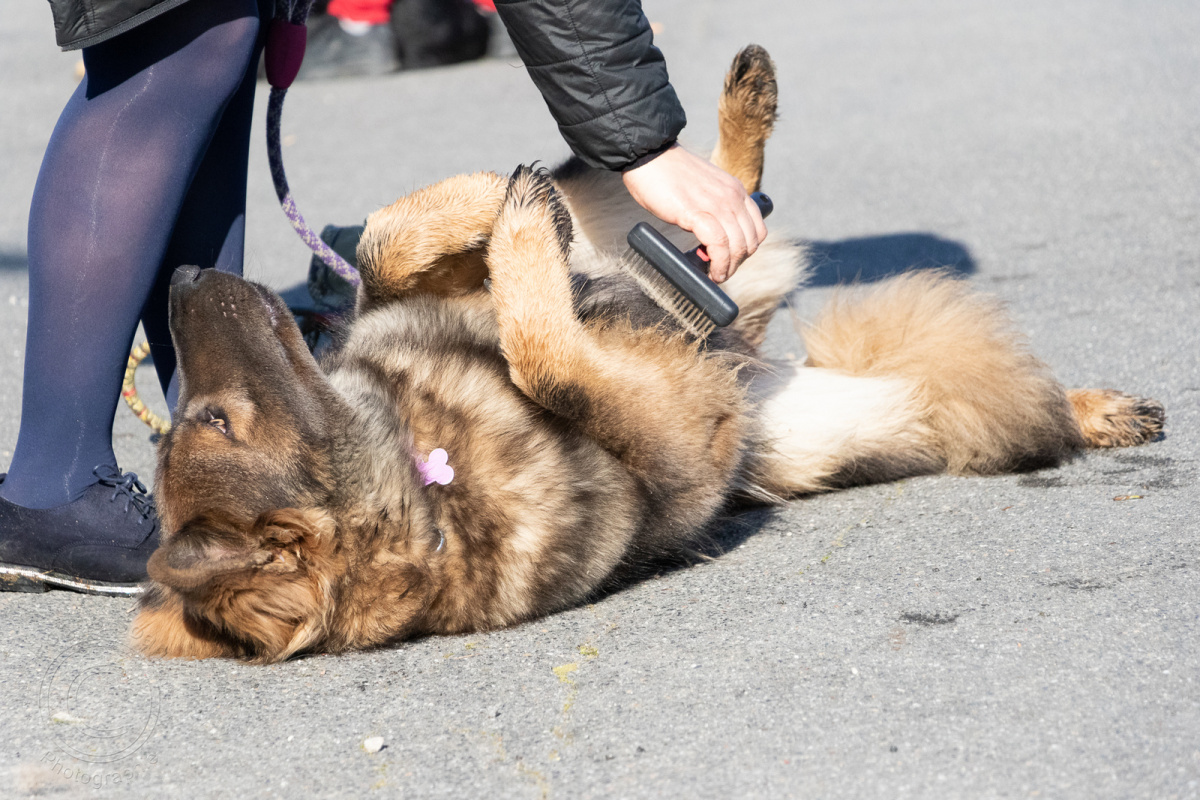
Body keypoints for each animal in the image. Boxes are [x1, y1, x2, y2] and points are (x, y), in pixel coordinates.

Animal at [133, 46, 1164, 663]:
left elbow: (392, 238)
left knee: (685, 188)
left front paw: (496, 204)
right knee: (968, 392)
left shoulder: (419, 293)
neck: (426, 456)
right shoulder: (668, 428)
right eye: (209, 418)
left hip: (690, 264)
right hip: (851, 418)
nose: (180, 274)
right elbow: (548, 359)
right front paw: (518, 230)